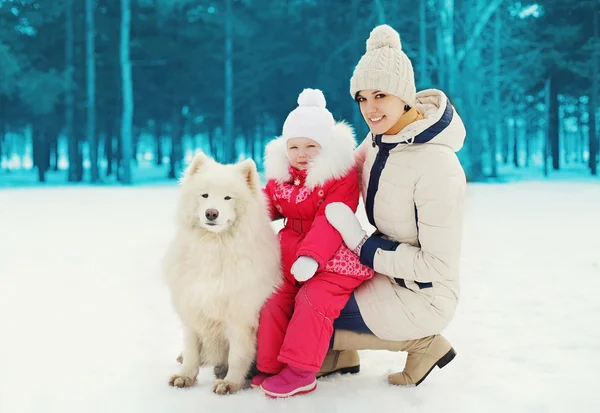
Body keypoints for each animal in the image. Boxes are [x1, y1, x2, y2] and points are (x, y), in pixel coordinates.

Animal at [163, 151, 282, 392]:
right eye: (205, 195)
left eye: (228, 198)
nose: (211, 213)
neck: (215, 247)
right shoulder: (192, 308)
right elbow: (191, 351)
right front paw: (185, 377)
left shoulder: (240, 316)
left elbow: (238, 354)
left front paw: (230, 383)